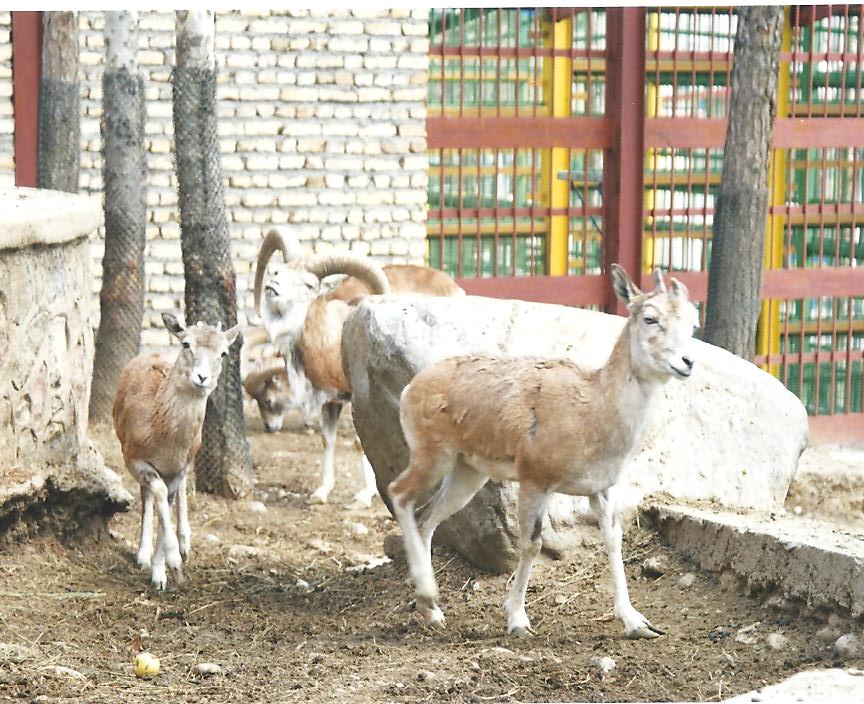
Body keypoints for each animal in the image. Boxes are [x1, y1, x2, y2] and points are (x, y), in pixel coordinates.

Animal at [113, 313, 241, 589]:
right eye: (186, 344)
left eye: (224, 352)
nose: (202, 378)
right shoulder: (133, 457)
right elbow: (158, 494)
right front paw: (168, 561)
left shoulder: (179, 467)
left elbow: (169, 502)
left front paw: (163, 570)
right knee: (147, 494)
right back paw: (144, 554)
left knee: (179, 492)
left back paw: (185, 543)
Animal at [254, 228, 463, 509]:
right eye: (279, 271)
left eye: (309, 285)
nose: (271, 286)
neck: (330, 337)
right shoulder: (331, 400)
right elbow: (327, 439)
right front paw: (321, 493)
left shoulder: (359, 398)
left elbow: (359, 444)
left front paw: (363, 497)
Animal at [388, 265, 699, 639]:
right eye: (650, 318)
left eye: (693, 322)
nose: (687, 362)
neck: (593, 414)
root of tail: (410, 389)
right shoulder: (535, 478)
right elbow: (532, 543)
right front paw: (518, 620)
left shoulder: (602, 487)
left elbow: (613, 538)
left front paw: (638, 623)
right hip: (432, 454)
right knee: (399, 493)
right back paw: (428, 597)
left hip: (468, 472)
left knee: (427, 517)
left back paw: (432, 610)